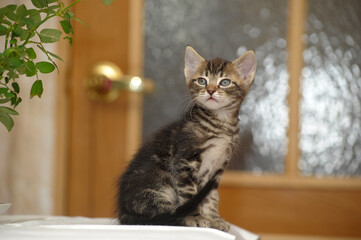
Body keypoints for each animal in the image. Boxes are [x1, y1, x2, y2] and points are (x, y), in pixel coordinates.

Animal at [116, 46, 256, 232]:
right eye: (202, 81)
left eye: (225, 82)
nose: (211, 90)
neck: (221, 123)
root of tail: (123, 211)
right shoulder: (184, 160)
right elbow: (190, 194)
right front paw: (195, 217)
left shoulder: (217, 168)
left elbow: (211, 197)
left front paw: (213, 219)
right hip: (160, 183)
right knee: (159, 214)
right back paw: (176, 217)